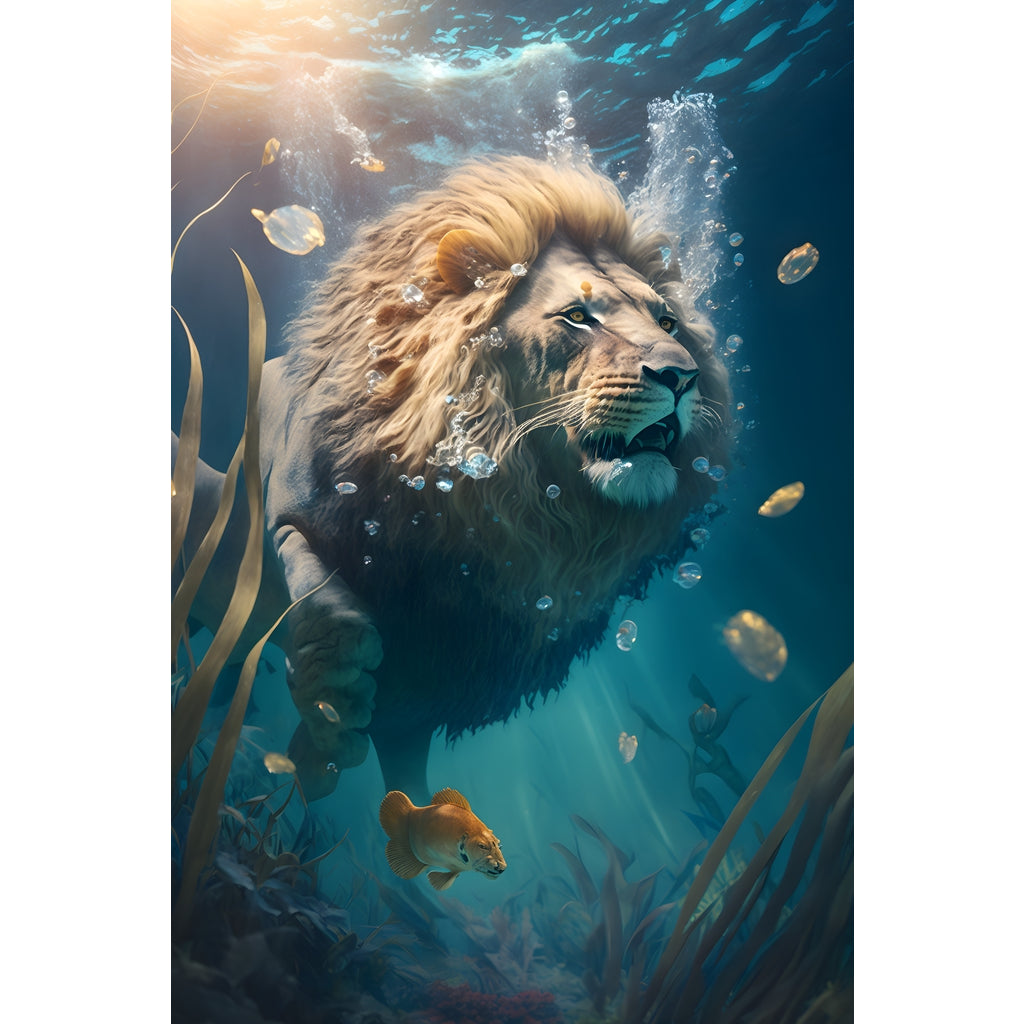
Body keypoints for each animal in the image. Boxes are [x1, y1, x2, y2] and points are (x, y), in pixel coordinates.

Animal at [175, 155, 732, 802]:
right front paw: (334, 700)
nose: (683, 375)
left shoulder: (441, 679)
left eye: (667, 321)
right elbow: (320, 589)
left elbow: (404, 769)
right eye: (577, 317)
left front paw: (328, 764)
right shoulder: (291, 501)